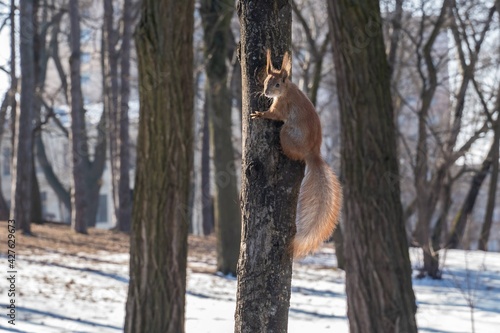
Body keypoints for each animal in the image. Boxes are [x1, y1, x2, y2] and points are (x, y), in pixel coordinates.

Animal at [252, 48, 342, 256]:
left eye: (277, 84)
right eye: (266, 81)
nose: (266, 92)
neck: (287, 90)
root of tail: (312, 153)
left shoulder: (281, 107)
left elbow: (273, 115)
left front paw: (259, 114)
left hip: (286, 133)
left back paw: (282, 150)